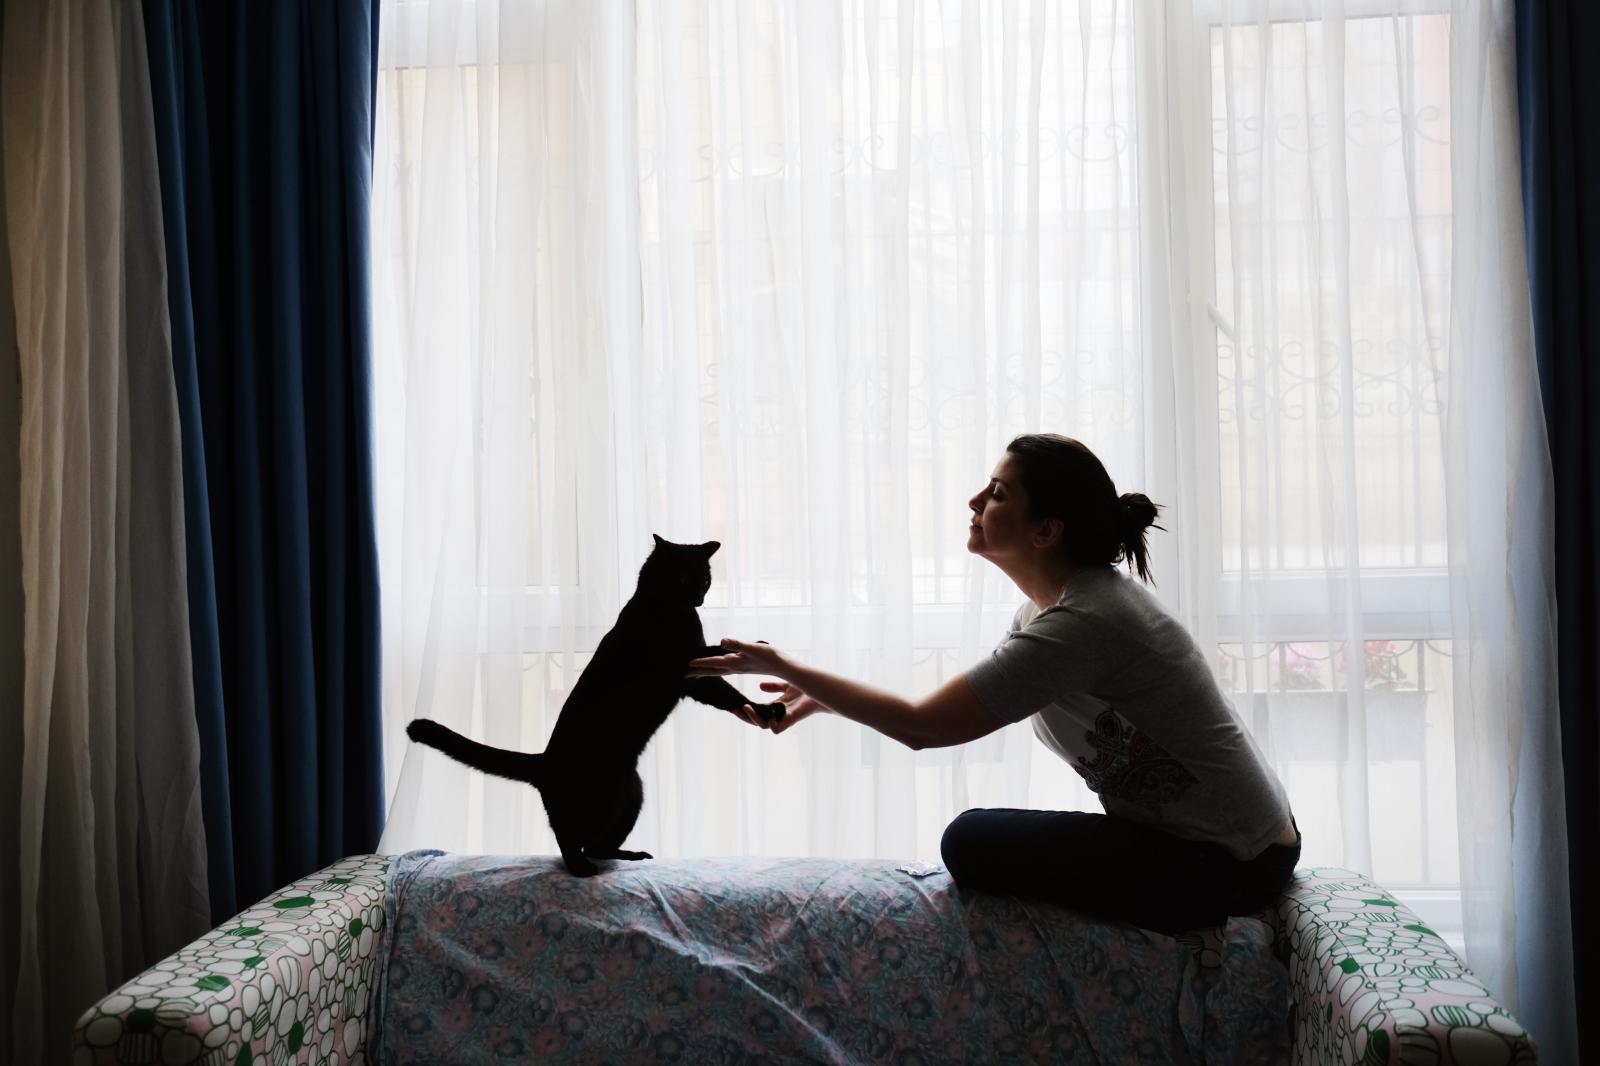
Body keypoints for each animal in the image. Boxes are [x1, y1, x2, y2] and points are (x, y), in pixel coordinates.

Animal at [403, 531, 784, 870]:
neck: (671, 610)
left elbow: (728, 694)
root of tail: (544, 762)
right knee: (569, 838)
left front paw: (763, 708)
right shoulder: (677, 662)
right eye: (681, 576)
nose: (699, 597)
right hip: (598, 797)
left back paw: (627, 856)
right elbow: (715, 651)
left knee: (597, 843)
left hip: (630, 794)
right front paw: (754, 646)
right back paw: (580, 868)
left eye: (704, 578)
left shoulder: (694, 681)